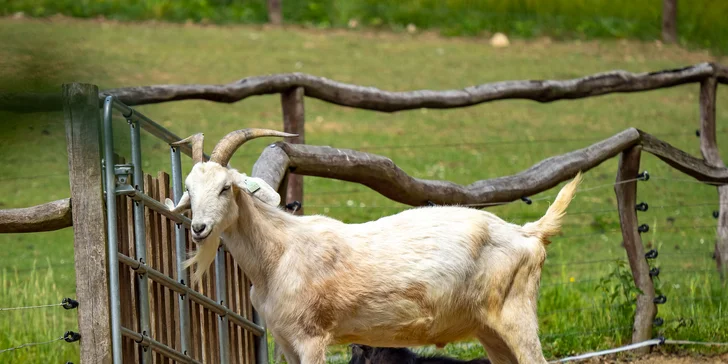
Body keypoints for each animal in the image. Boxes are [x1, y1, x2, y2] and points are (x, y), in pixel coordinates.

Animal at [168, 129, 584, 364]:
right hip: (489, 329)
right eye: (188, 188)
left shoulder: (312, 337)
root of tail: (529, 233)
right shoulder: (285, 339)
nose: (199, 228)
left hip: (517, 314)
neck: (279, 252)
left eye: (226, 187)